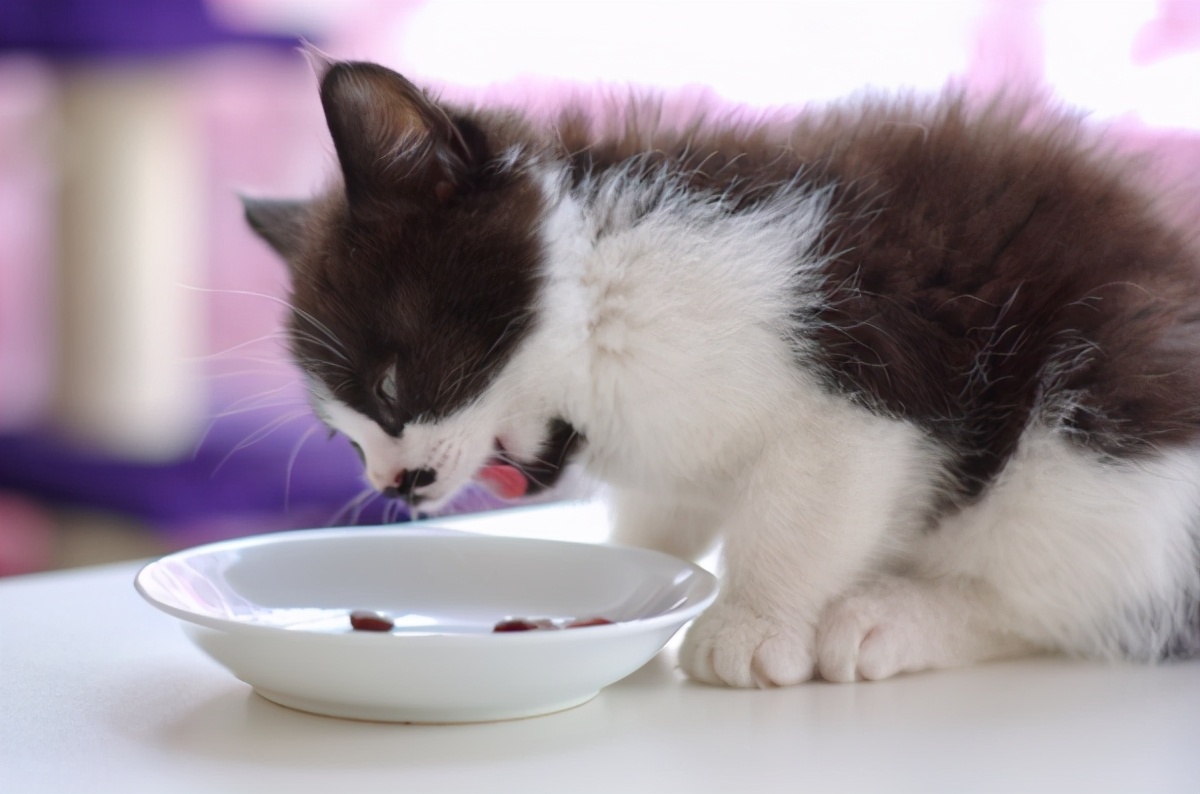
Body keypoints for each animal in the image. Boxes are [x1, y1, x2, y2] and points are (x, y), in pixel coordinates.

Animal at [243, 57, 1200, 690]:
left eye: (390, 388)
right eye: (342, 436)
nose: (395, 483)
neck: (606, 293)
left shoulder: (867, 360)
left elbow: (803, 506)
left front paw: (751, 623)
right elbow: (664, 511)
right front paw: (626, 579)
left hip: (1101, 404)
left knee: (1070, 583)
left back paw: (892, 615)